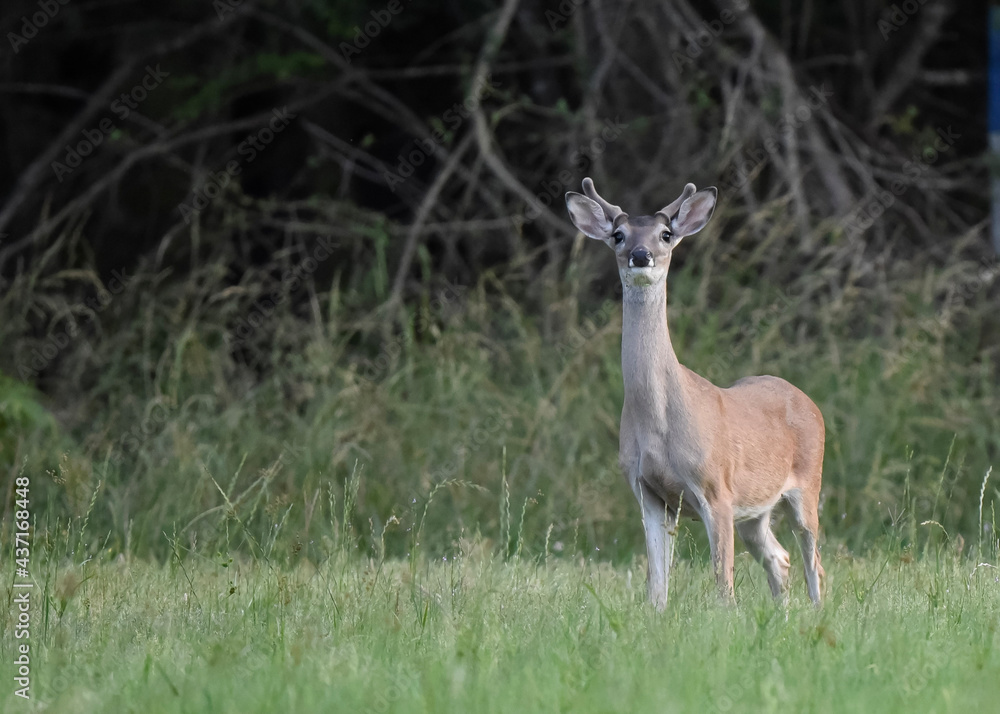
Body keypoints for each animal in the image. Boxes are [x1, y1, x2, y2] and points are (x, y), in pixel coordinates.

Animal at [568, 178, 824, 608]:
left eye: (665, 234)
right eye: (619, 235)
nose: (641, 255)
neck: (660, 422)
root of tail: (808, 400)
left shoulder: (716, 488)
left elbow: (723, 583)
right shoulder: (648, 492)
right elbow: (656, 585)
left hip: (807, 485)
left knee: (813, 559)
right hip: (756, 511)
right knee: (780, 557)